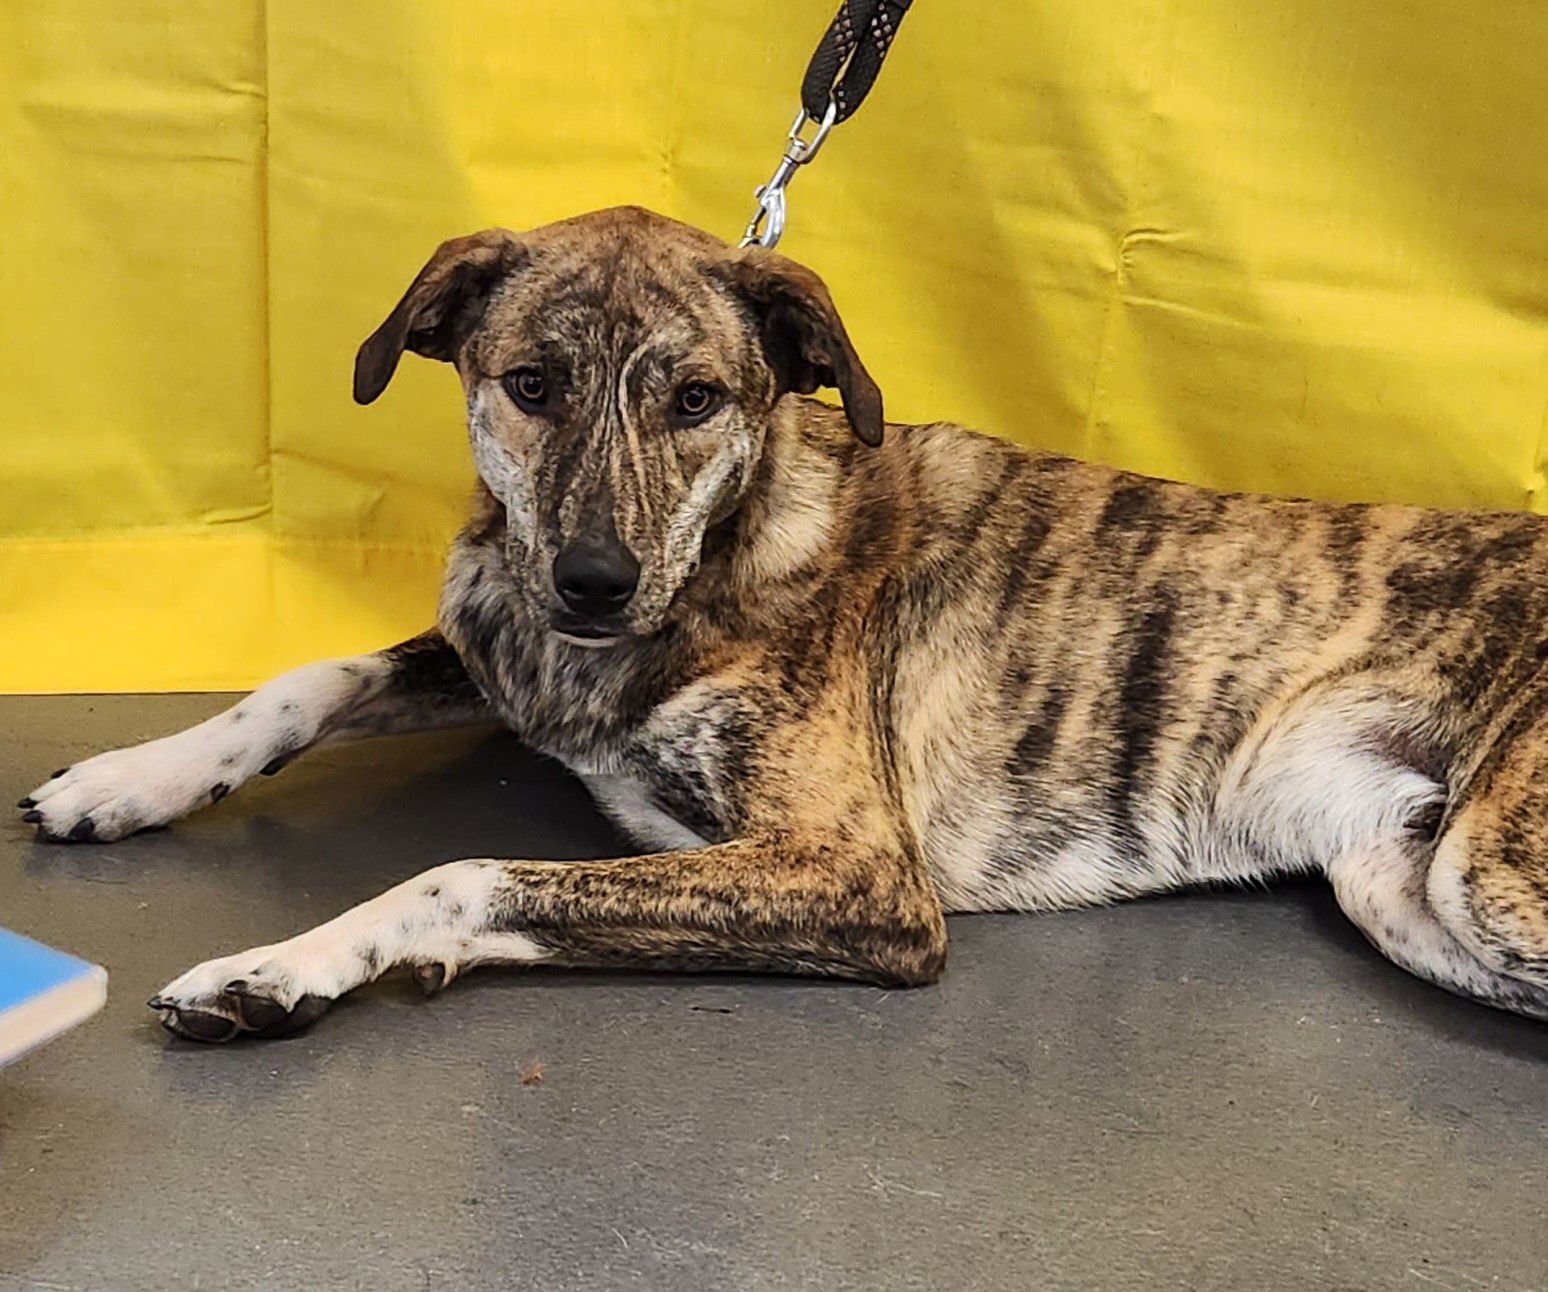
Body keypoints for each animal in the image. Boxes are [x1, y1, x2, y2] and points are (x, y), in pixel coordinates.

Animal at [21, 207, 1548, 1045]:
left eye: (697, 398)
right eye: (530, 382)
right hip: (1407, 893)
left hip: (1486, 874)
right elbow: (308, 680)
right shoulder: (510, 660)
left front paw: (280, 964)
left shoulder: (858, 871)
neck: (716, 559)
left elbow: (463, 871)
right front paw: (128, 780)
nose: (591, 580)